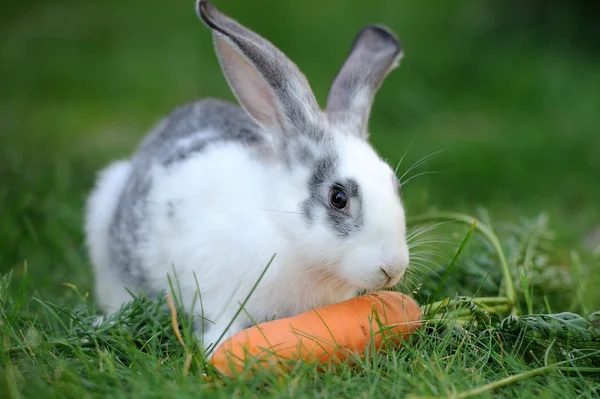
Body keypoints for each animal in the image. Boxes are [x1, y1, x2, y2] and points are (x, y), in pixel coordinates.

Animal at [84, 0, 410, 350]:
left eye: (395, 185)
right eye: (338, 198)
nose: (392, 268)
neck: (282, 225)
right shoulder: (219, 295)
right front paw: (217, 350)